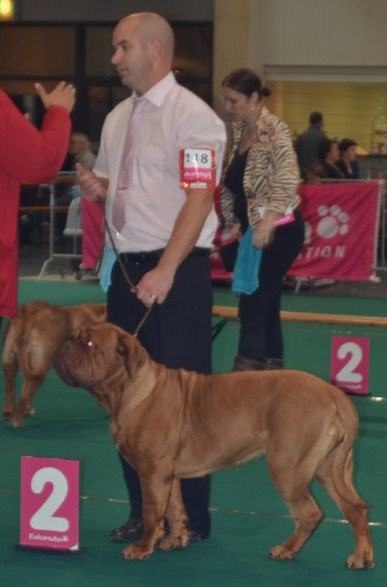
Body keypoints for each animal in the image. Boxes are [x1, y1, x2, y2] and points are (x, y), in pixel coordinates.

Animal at [54, 322, 376, 568]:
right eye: (73, 336)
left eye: (90, 343)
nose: (63, 346)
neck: (128, 391)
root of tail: (333, 392)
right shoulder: (168, 476)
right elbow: (174, 510)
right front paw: (176, 541)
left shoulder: (152, 473)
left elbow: (152, 513)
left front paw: (143, 549)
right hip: (330, 469)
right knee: (355, 510)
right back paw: (362, 557)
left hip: (288, 467)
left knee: (310, 514)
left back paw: (287, 549)